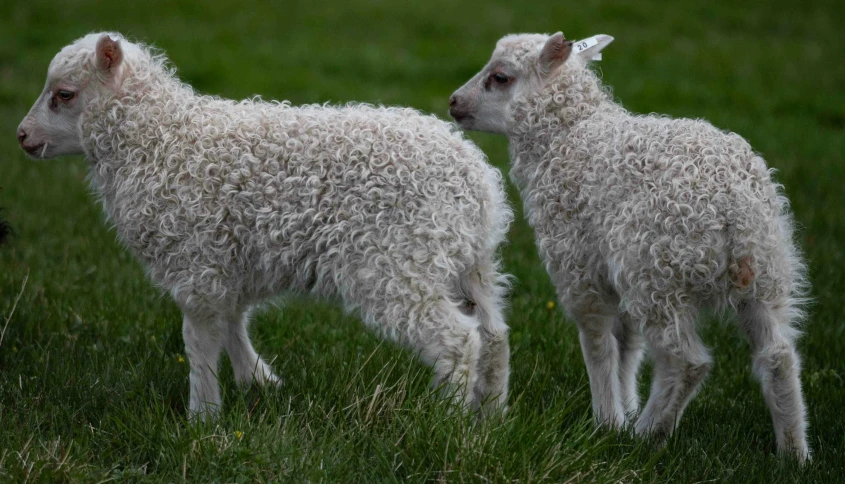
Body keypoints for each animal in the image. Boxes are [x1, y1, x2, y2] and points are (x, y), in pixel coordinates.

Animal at [16, 33, 512, 420]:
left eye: (64, 94)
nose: (21, 136)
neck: (159, 141)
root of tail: (479, 184)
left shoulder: (196, 263)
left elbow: (199, 342)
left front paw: (202, 417)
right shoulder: (225, 261)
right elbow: (232, 323)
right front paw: (259, 381)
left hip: (397, 262)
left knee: (456, 339)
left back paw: (444, 420)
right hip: (467, 263)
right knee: (494, 336)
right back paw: (488, 417)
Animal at [448, 32, 812, 460]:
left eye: (500, 77)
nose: (454, 102)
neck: (567, 137)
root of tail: (732, 201)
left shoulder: (578, 266)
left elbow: (598, 343)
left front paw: (608, 421)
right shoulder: (610, 269)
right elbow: (627, 344)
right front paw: (625, 406)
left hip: (658, 270)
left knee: (685, 362)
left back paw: (646, 435)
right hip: (765, 267)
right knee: (778, 355)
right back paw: (794, 453)